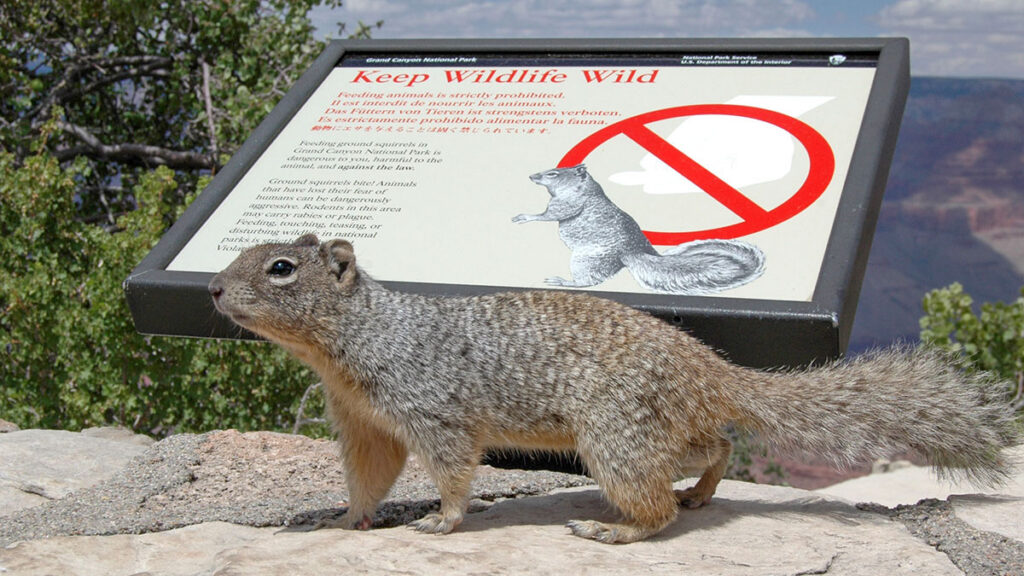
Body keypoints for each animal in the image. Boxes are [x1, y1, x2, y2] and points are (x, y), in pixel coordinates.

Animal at [209, 234, 1020, 544]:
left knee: (656, 504)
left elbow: (451, 471)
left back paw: (617, 529)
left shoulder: (431, 411)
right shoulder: (364, 422)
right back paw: (702, 492)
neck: (355, 341)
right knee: (714, 446)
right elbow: (369, 478)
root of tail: (710, 366)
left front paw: (440, 521)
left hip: (614, 436)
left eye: (281, 267)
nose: (213, 288)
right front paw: (343, 519)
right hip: (651, 430)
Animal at [513, 164, 766, 295]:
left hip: (585, 261)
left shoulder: (567, 204)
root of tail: (631, 253)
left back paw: (564, 282)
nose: (531, 175)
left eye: (553, 173)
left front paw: (525, 216)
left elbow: (550, 215)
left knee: (588, 281)